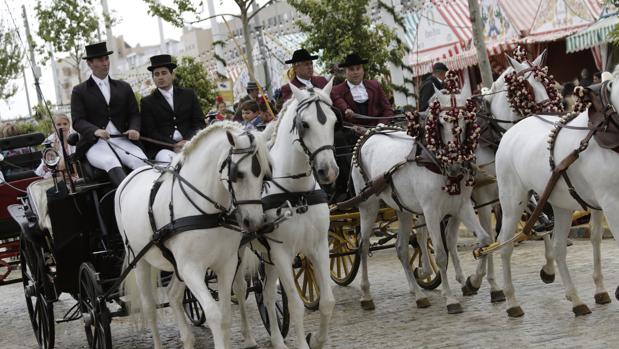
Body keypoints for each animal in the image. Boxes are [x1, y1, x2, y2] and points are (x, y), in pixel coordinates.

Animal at [116, 120, 272, 348]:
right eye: (238, 174)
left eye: (263, 175)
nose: (255, 222)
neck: (207, 212)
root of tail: (131, 176)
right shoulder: (190, 268)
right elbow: (214, 313)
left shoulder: (226, 264)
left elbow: (226, 315)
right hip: (140, 262)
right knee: (150, 308)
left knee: (173, 295)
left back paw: (188, 340)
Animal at [234, 82, 340, 348]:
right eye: (305, 124)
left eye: (334, 122)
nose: (329, 171)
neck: (297, 194)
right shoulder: (282, 253)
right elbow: (296, 304)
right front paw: (303, 343)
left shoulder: (318, 247)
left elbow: (327, 301)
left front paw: (318, 340)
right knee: (240, 290)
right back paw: (248, 337)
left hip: (268, 259)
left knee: (268, 294)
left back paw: (277, 340)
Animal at [354, 87, 494, 312]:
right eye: (440, 123)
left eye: (465, 121)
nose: (455, 165)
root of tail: (371, 133)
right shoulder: (431, 212)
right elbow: (441, 254)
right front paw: (450, 299)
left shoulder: (462, 207)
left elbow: (485, 240)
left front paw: (473, 282)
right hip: (368, 206)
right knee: (364, 245)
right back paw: (366, 295)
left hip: (402, 210)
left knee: (401, 248)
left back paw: (418, 294)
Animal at [496, 78, 619, 316]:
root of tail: (510, 132)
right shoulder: (611, 202)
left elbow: (595, 238)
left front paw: (600, 289)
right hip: (512, 201)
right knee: (504, 246)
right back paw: (511, 301)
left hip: (561, 205)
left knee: (559, 248)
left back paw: (576, 300)